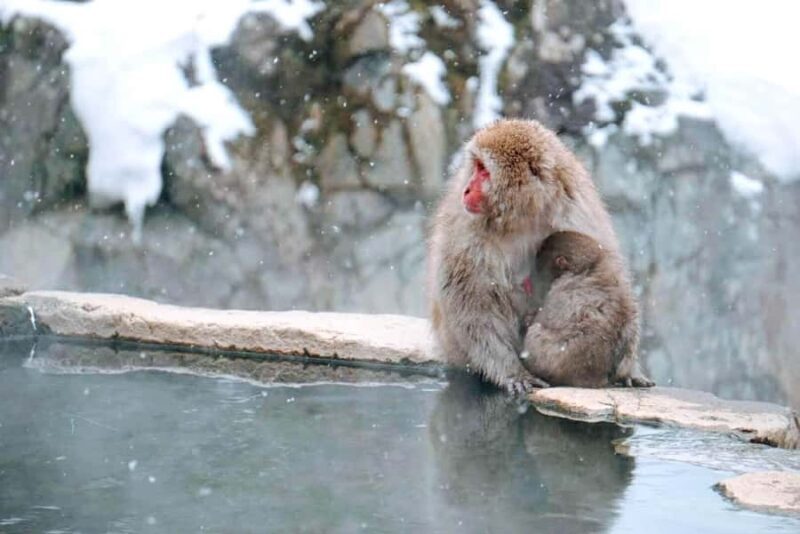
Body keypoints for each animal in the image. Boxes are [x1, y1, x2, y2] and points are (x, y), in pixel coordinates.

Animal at [522, 231, 654, 388]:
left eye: (538, 264)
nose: (530, 276)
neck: (589, 267)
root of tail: (599, 378)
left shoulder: (560, 291)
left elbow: (543, 319)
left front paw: (529, 318)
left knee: (534, 331)